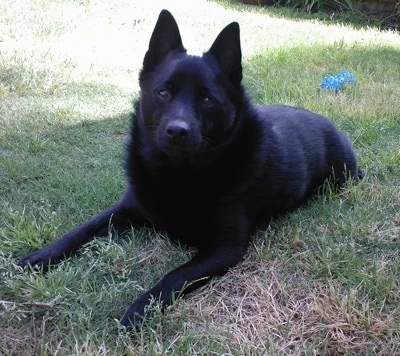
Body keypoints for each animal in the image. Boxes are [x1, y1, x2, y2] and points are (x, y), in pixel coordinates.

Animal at [18, 10, 362, 328]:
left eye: (208, 99)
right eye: (163, 92)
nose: (177, 131)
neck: (177, 174)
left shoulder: (224, 249)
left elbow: (172, 277)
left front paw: (139, 309)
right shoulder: (126, 208)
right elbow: (83, 228)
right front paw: (41, 256)